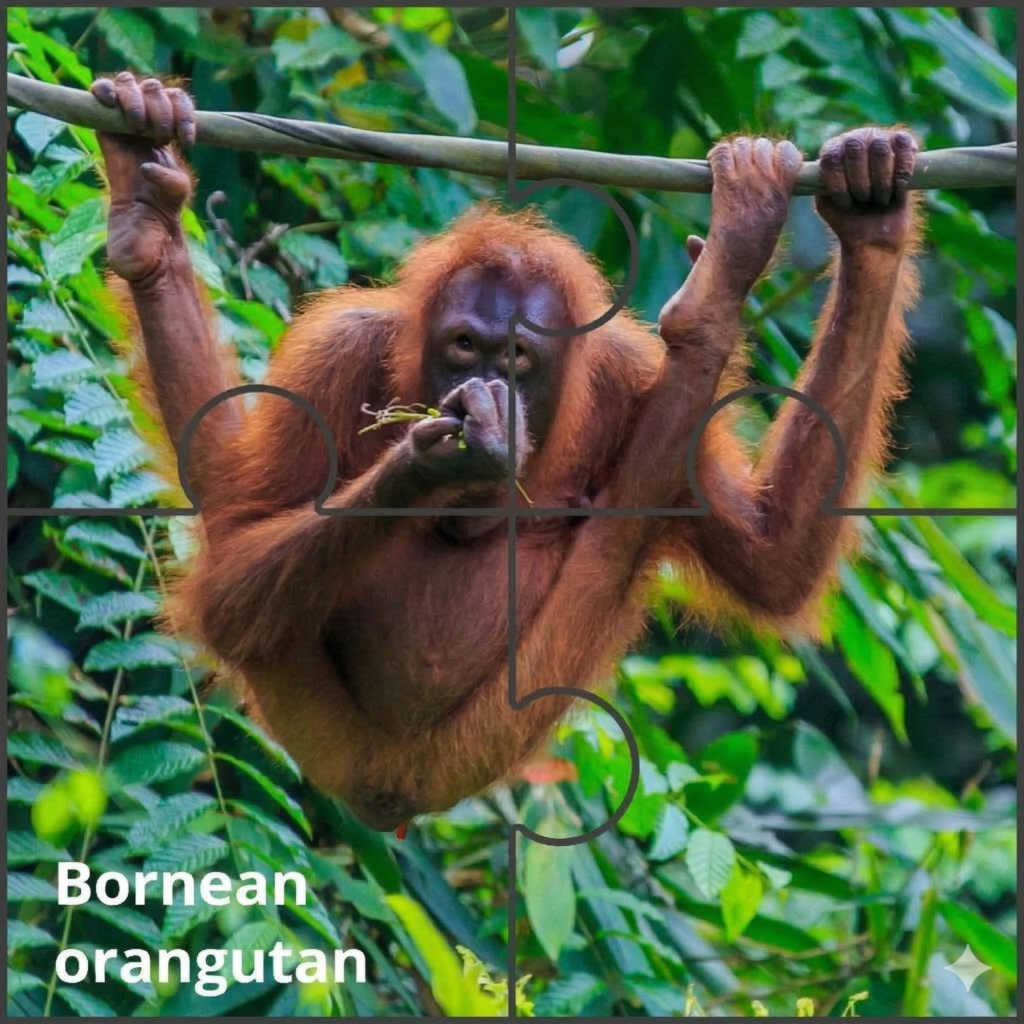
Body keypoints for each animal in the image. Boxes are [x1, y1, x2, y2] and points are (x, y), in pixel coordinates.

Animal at [91, 73, 920, 829]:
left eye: (518, 355)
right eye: (464, 344)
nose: (486, 384)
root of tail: (388, 788)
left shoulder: (626, 372)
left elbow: (773, 558)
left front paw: (871, 216)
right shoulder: (336, 353)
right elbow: (235, 564)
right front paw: (428, 464)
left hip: (494, 726)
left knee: (624, 523)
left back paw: (710, 303)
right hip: (334, 720)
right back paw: (146, 220)